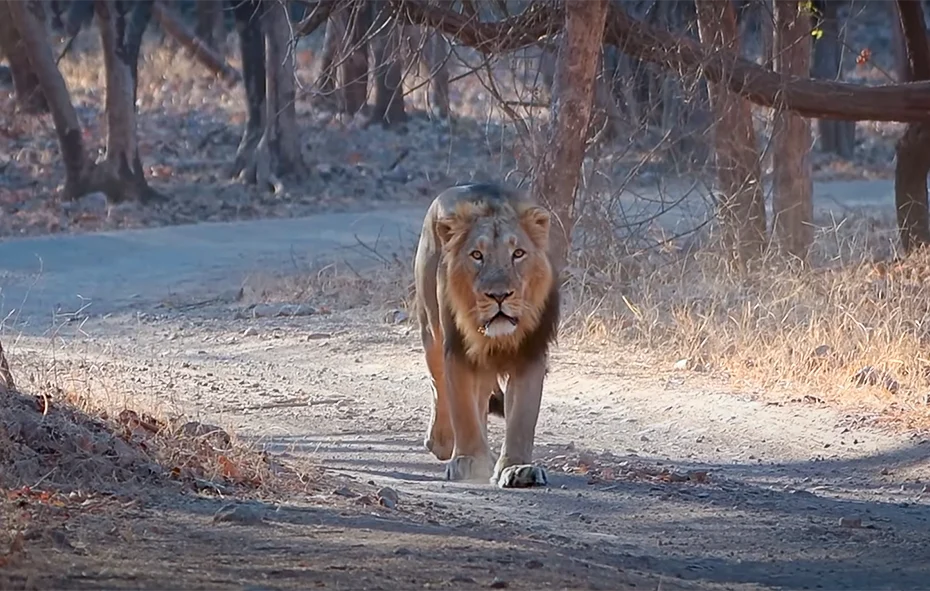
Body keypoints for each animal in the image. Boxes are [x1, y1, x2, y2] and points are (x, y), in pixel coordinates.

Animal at [414, 183, 560, 488]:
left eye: (518, 253)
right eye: (476, 255)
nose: (499, 295)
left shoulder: (530, 352)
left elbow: (522, 416)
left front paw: (517, 468)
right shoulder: (457, 350)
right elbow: (463, 409)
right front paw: (470, 461)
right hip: (430, 328)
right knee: (438, 383)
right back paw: (442, 441)